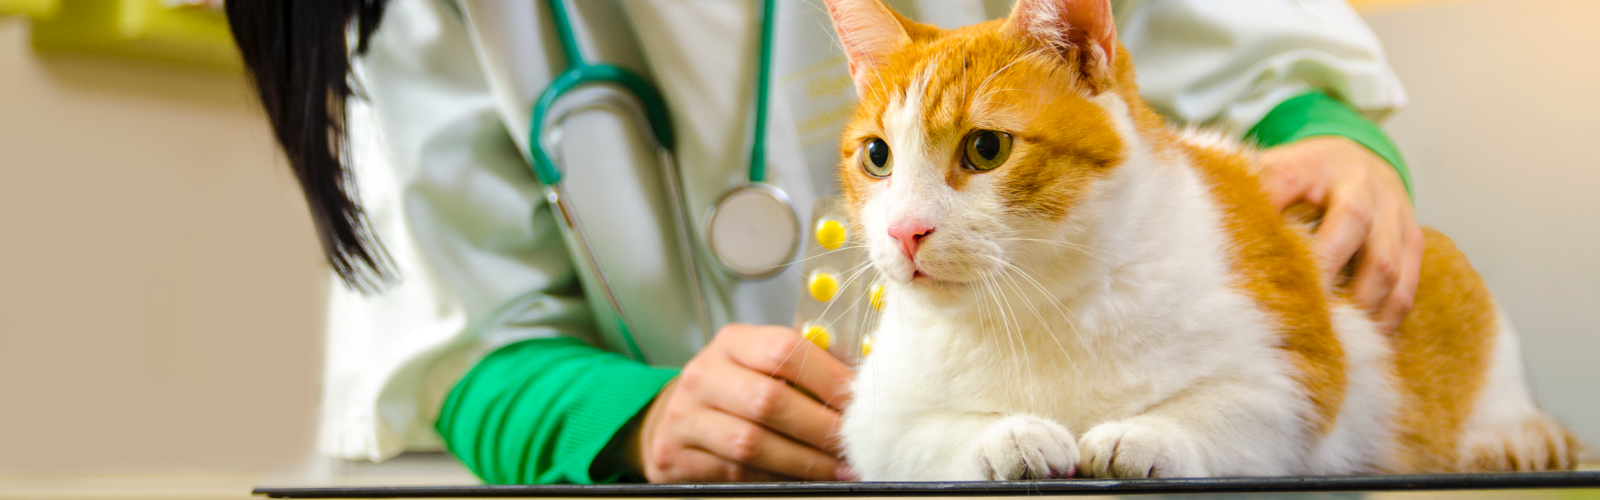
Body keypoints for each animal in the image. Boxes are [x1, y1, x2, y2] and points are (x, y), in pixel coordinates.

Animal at [832, 0, 1580, 480]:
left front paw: (1143, 435)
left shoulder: (1297, 376)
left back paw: (1510, 437)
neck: (1037, 307)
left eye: (986, 148)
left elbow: (1223, 411)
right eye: (877, 157)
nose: (904, 230)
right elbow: (921, 437)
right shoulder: (877, 418)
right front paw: (1010, 433)